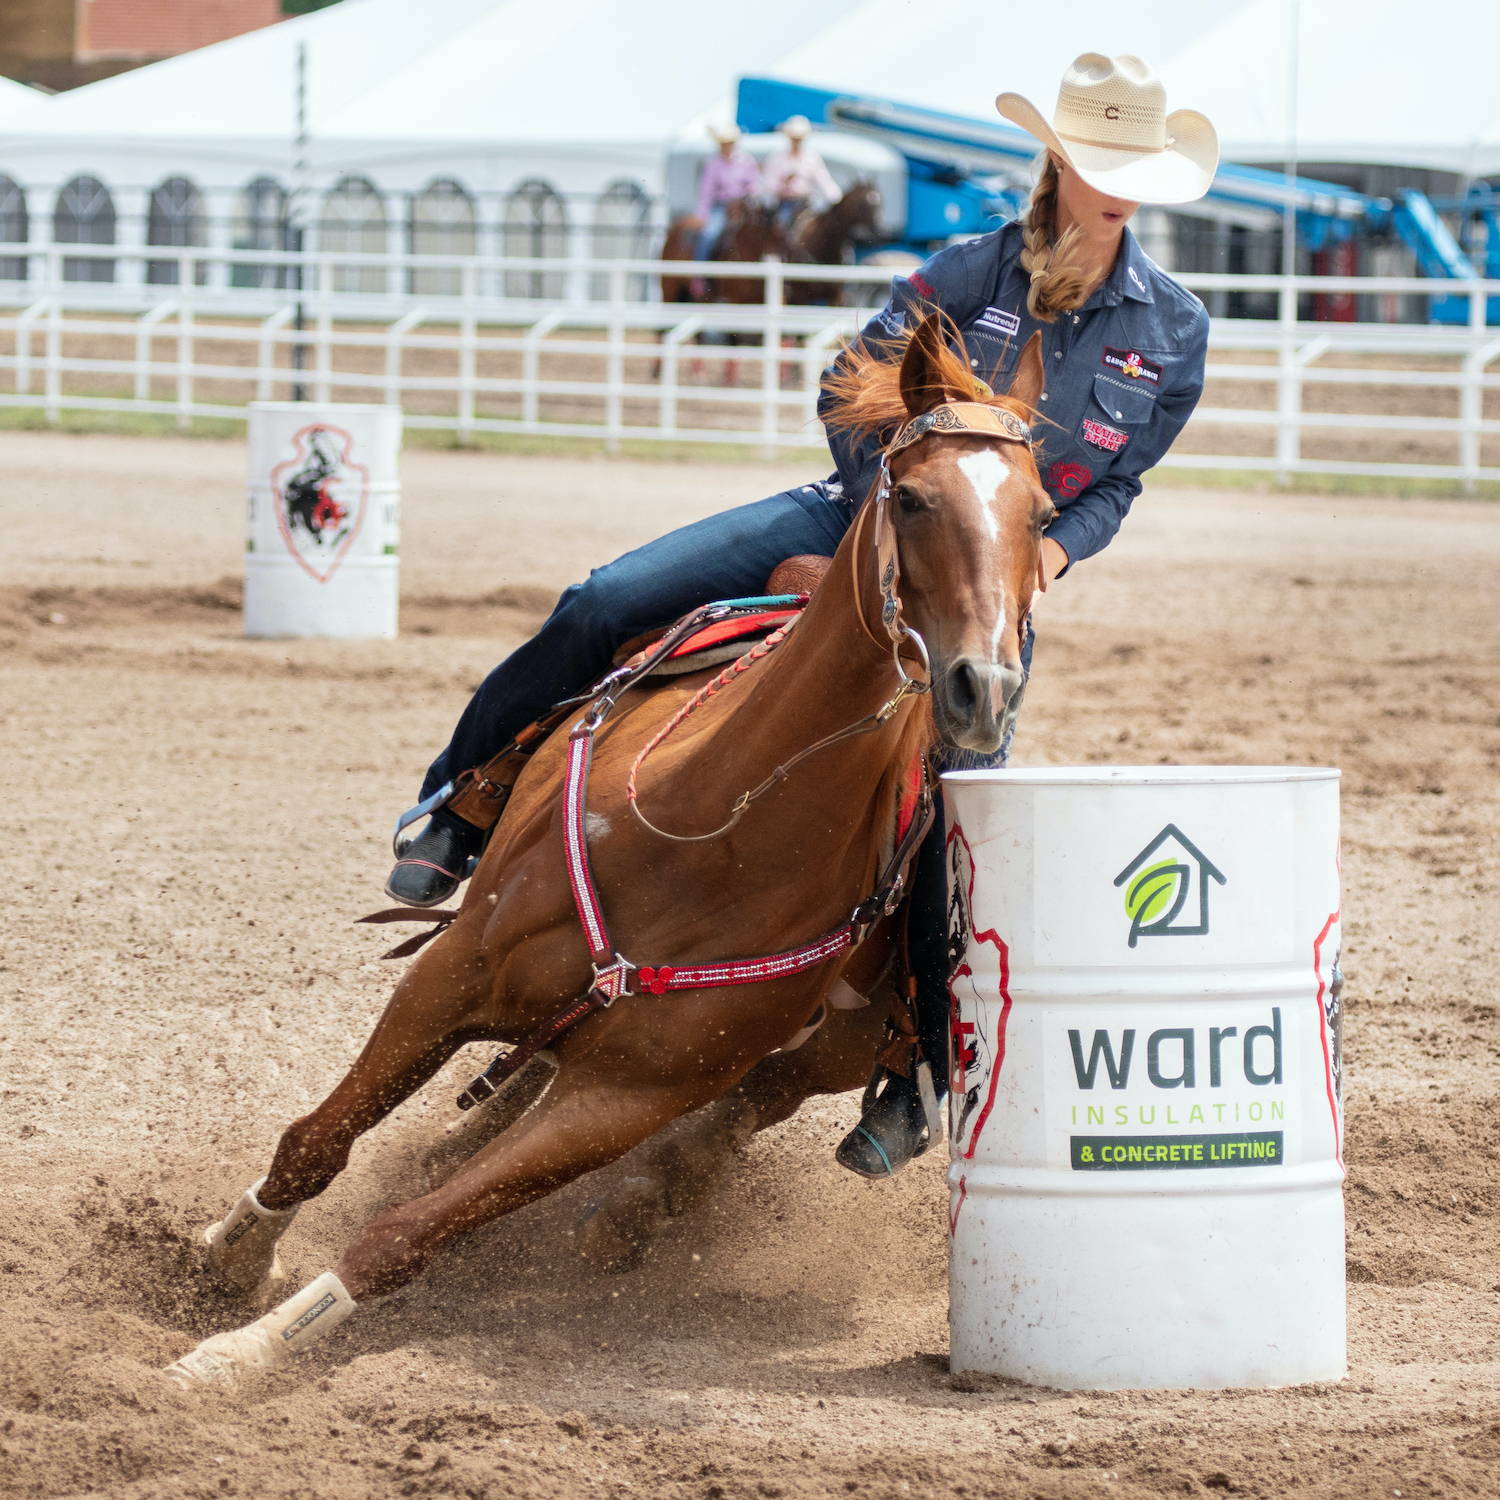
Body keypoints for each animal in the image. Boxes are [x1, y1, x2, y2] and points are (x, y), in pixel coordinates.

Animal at [167, 313, 1056, 1380]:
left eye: (1043, 516)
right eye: (915, 496)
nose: (983, 687)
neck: (714, 832)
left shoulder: (625, 1097)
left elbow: (407, 1235)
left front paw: (235, 1356)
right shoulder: (452, 976)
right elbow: (315, 1141)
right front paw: (223, 1262)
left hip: (813, 1060)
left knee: (723, 1128)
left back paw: (627, 1220)